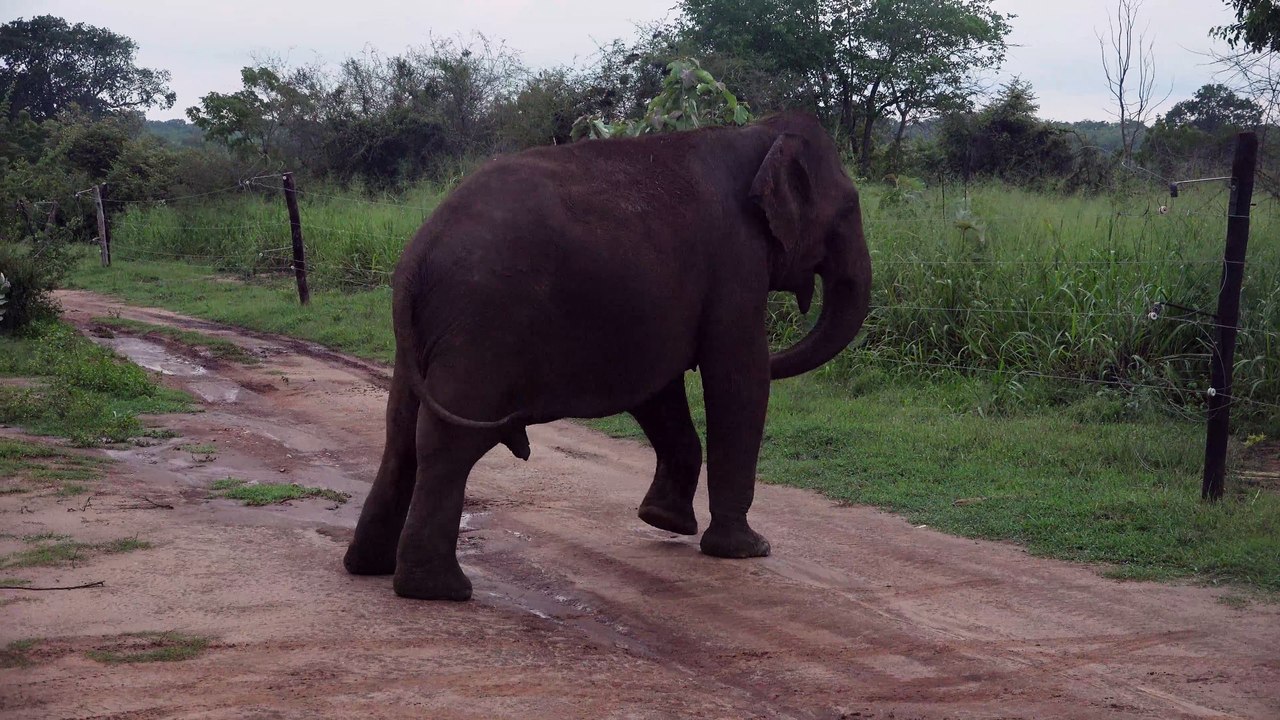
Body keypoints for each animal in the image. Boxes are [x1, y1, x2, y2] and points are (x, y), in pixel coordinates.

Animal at [343, 111, 872, 601]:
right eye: (850, 207)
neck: (759, 134)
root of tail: (417, 254)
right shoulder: (737, 261)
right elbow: (738, 376)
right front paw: (747, 550)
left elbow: (660, 390)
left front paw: (663, 521)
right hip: (482, 323)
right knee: (448, 438)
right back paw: (441, 590)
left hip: (428, 333)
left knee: (401, 433)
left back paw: (370, 567)